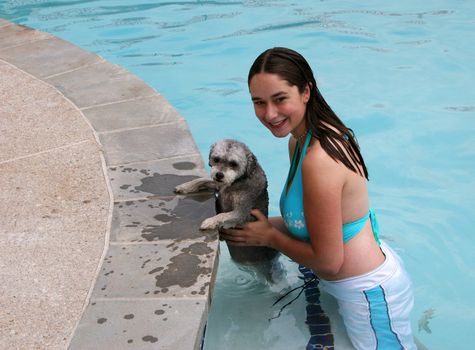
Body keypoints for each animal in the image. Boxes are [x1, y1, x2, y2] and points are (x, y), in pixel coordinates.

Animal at [174, 138, 278, 270]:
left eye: (233, 164)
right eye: (216, 159)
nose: (219, 175)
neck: (237, 181)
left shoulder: (241, 213)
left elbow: (222, 215)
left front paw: (210, 222)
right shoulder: (218, 185)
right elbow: (202, 180)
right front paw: (185, 186)